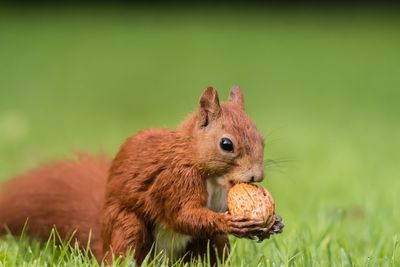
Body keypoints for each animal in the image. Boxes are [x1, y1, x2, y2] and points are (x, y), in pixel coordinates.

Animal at [0, 87, 284, 266]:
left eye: (261, 140)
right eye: (226, 144)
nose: (257, 177)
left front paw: (275, 223)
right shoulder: (175, 180)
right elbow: (183, 215)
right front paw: (229, 222)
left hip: (211, 244)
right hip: (126, 227)